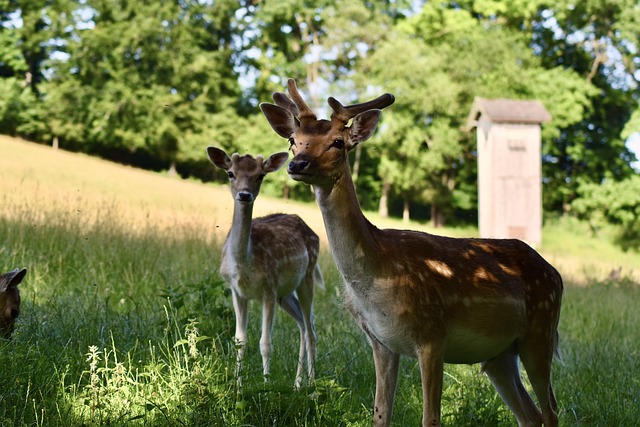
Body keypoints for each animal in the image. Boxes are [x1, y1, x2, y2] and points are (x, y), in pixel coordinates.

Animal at [206, 147, 324, 392]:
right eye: (230, 173)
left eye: (260, 175)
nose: (244, 195)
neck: (245, 262)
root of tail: (311, 230)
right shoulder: (237, 291)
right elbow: (240, 340)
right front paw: (237, 387)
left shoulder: (268, 288)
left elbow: (265, 342)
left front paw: (266, 387)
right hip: (285, 294)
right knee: (302, 324)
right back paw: (297, 384)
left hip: (306, 277)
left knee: (311, 329)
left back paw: (312, 386)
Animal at [258, 79, 564, 424]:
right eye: (293, 141)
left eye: (338, 142)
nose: (298, 163)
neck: (377, 275)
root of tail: (556, 274)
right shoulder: (380, 341)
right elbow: (380, 414)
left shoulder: (432, 334)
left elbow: (430, 418)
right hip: (500, 354)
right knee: (530, 415)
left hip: (541, 330)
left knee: (551, 411)